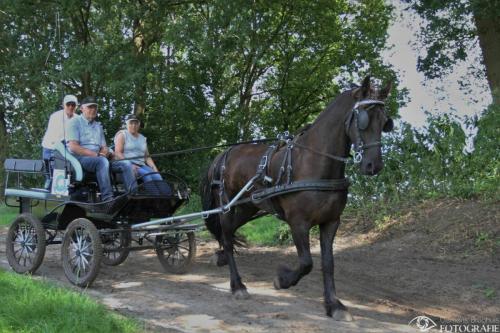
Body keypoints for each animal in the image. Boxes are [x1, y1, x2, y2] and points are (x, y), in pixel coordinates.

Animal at [201, 76, 392, 318]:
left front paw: (334, 305)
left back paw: (222, 258)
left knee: (230, 232)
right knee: (226, 236)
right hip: (227, 205)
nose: (373, 165)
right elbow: (306, 262)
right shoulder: (298, 222)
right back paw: (237, 285)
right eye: (364, 119)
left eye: (385, 122)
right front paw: (282, 280)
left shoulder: (331, 222)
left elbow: (328, 264)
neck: (313, 162)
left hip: (247, 207)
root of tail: (223, 154)